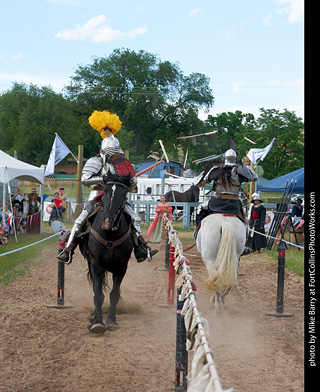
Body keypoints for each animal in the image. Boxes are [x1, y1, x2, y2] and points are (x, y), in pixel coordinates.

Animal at [80, 172, 135, 334]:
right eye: (105, 191)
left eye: (123, 194)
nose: (107, 222)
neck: (110, 235)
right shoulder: (96, 265)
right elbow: (98, 294)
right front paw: (97, 322)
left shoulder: (121, 268)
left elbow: (114, 294)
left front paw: (111, 321)